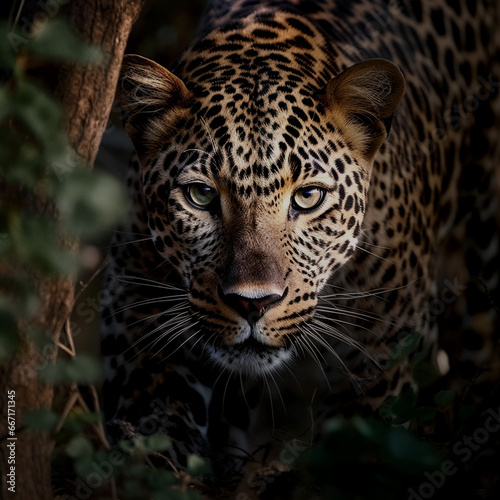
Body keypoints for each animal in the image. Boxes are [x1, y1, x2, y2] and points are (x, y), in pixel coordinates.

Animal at [99, 0, 498, 492]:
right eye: (201, 196)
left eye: (308, 197)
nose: (253, 303)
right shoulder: (138, 318)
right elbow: (152, 433)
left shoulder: (383, 361)